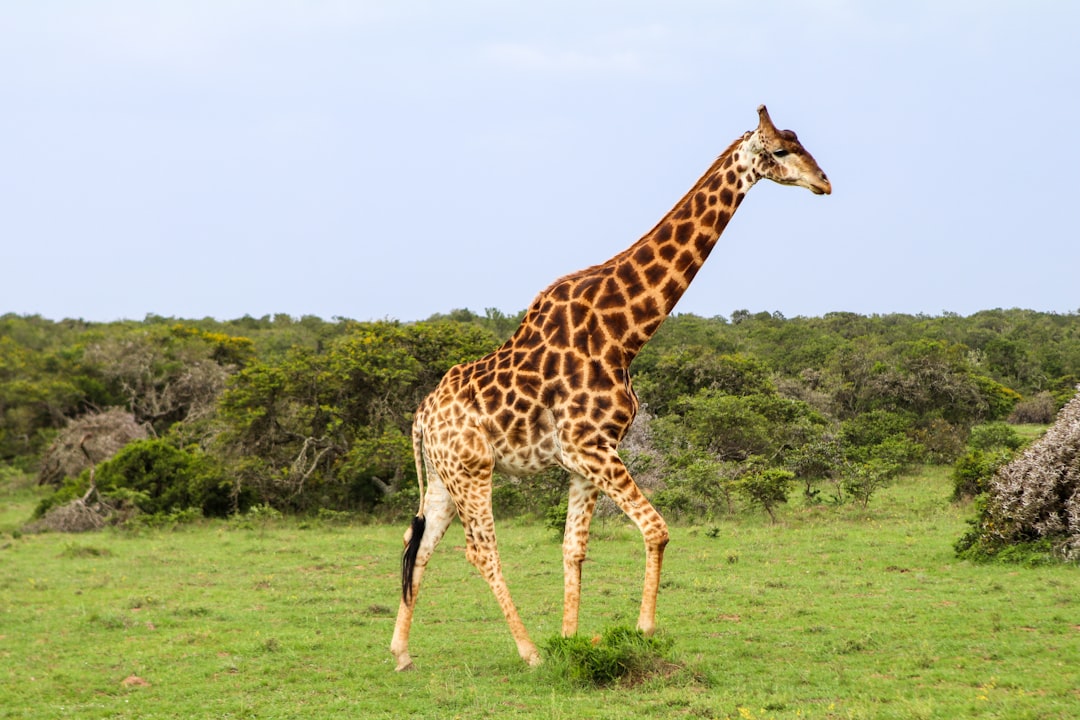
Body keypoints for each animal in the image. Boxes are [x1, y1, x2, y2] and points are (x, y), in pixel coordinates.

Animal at [390, 105, 830, 671]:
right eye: (779, 150)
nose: (824, 182)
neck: (625, 334)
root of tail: (421, 416)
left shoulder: (584, 458)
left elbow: (573, 547)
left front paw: (572, 640)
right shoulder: (590, 447)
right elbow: (656, 528)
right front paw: (642, 630)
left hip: (445, 476)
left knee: (417, 542)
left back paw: (402, 653)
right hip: (472, 470)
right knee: (479, 549)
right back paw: (528, 652)